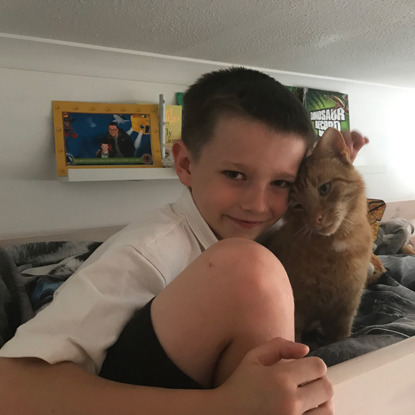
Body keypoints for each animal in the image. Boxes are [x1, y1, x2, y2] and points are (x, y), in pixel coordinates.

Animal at [270, 128, 374, 346]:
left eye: (324, 188)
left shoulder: (345, 310)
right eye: (298, 206)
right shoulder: (297, 308)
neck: (336, 246)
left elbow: (339, 340)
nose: (316, 219)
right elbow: (295, 340)